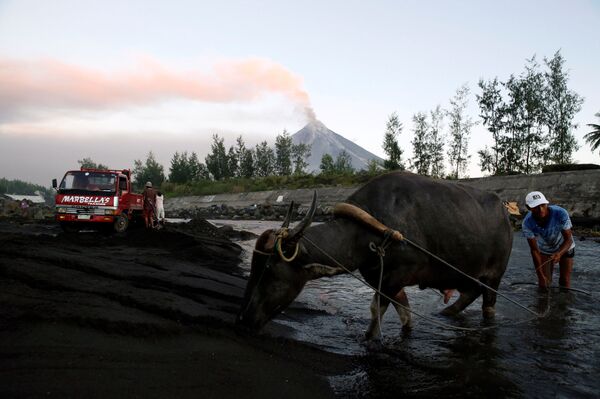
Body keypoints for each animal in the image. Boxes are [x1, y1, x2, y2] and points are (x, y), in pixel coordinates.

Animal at [237, 173, 512, 340]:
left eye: (269, 269)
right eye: (254, 266)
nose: (245, 319)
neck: (370, 230)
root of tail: (504, 210)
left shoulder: (397, 276)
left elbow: (376, 311)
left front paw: (369, 338)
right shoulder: (384, 279)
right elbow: (404, 313)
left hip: (494, 275)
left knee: (488, 304)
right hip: (464, 274)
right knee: (470, 292)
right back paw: (446, 313)